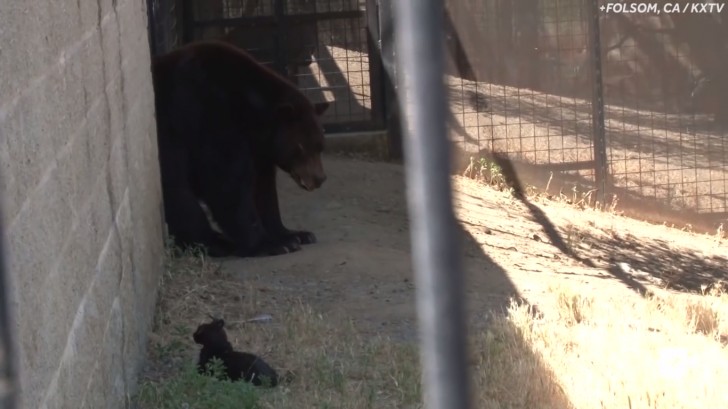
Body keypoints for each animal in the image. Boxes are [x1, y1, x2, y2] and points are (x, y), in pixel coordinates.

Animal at [154, 40, 330, 255]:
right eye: (302, 147)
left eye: (320, 146)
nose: (319, 178)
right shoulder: (210, 118)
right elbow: (227, 182)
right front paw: (272, 243)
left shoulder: (258, 149)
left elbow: (262, 188)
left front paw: (293, 234)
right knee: (180, 195)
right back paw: (215, 242)